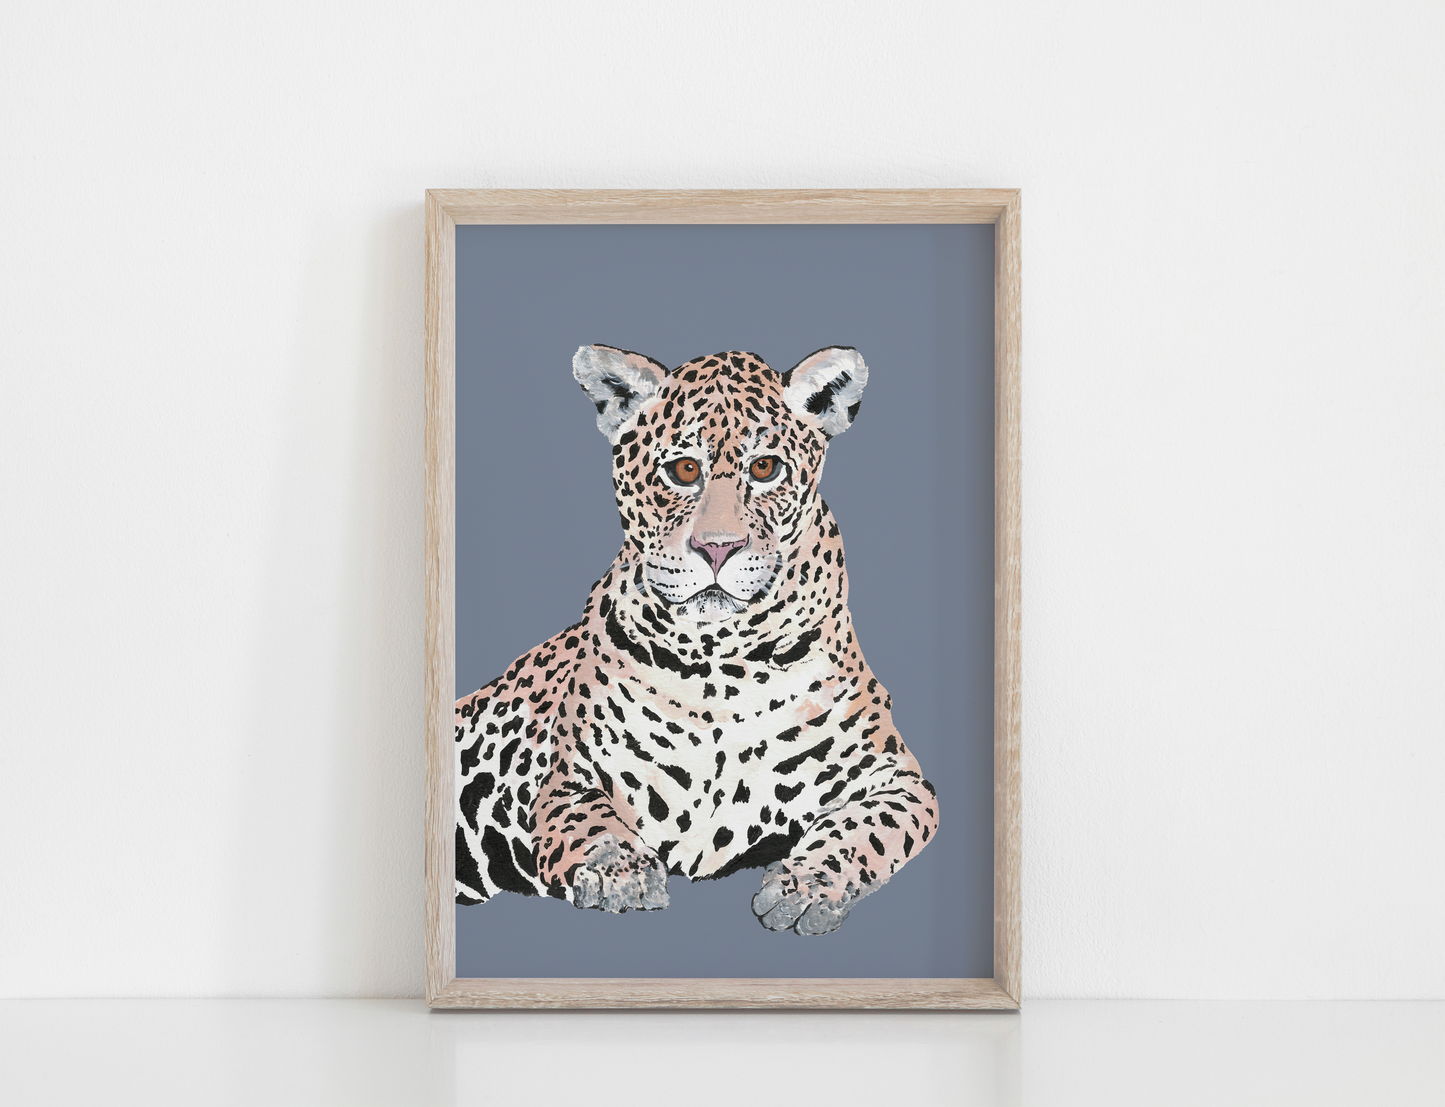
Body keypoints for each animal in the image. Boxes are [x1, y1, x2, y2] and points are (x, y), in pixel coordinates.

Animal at [454, 344, 939, 935]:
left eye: (765, 468)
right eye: (684, 470)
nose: (717, 548)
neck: (722, 665)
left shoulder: (900, 781)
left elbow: (864, 830)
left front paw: (804, 888)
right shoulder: (565, 779)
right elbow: (591, 823)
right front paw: (621, 875)